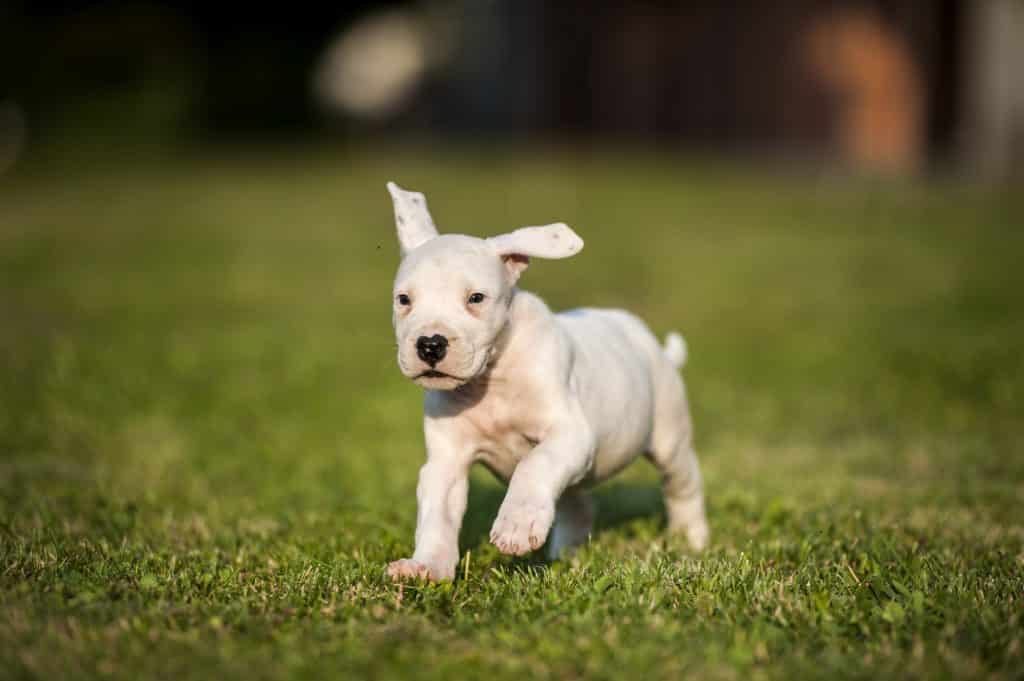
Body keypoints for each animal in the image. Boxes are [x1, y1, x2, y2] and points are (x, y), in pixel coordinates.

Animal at [380, 183, 708, 581]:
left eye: (476, 298)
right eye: (404, 300)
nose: (429, 344)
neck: (492, 379)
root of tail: (654, 345)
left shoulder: (570, 433)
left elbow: (534, 465)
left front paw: (516, 525)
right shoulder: (446, 463)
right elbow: (437, 517)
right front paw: (426, 567)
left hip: (669, 436)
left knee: (683, 484)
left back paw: (691, 539)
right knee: (577, 504)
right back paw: (567, 554)